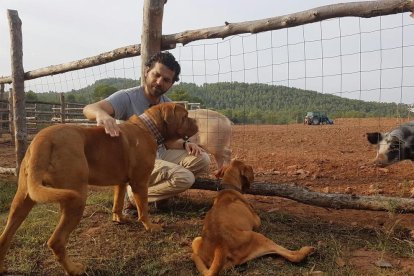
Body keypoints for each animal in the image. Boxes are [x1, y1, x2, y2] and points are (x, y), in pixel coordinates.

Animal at [0, 102, 198, 276]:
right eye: (185, 116)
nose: (196, 122)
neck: (148, 127)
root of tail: (43, 139)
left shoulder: (121, 182)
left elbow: (117, 202)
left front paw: (119, 219)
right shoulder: (140, 182)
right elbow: (143, 209)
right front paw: (150, 226)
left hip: (23, 199)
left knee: (6, 236)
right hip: (76, 200)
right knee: (56, 241)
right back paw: (74, 269)